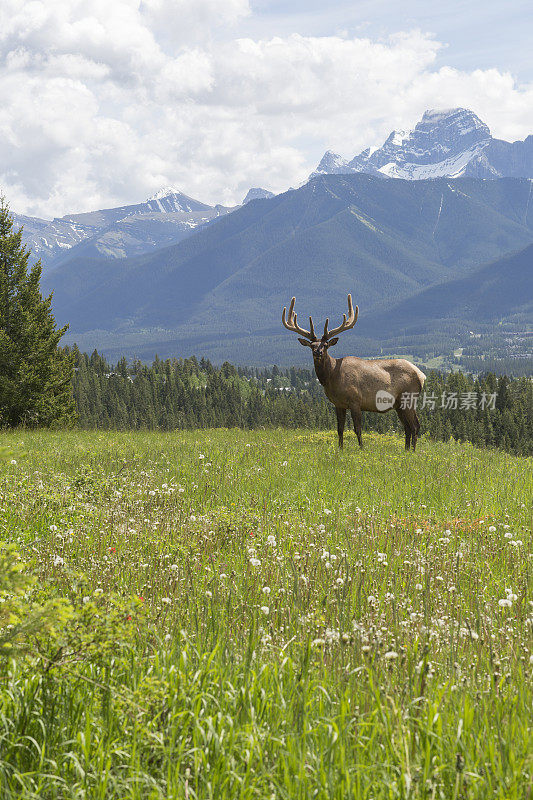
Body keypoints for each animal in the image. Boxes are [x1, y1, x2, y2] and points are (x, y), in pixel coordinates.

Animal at [280, 296, 426, 454]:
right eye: (312, 345)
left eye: (325, 345)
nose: (317, 352)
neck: (333, 377)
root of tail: (422, 375)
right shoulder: (338, 404)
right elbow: (339, 429)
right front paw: (340, 449)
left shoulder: (356, 400)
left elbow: (358, 429)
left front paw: (361, 449)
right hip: (399, 404)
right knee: (407, 427)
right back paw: (406, 450)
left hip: (409, 397)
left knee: (415, 425)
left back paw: (412, 451)